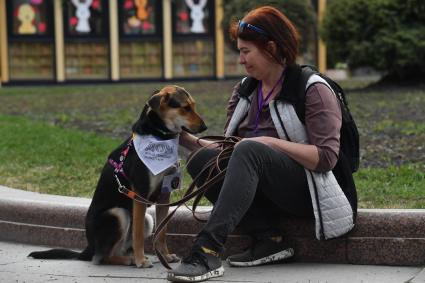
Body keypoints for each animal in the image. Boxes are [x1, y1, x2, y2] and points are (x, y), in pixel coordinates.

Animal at [27, 85, 206, 270]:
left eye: (193, 105)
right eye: (185, 108)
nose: (204, 127)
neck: (159, 136)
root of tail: (89, 247)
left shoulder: (165, 193)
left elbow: (162, 232)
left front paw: (166, 256)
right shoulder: (140, 195)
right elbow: (138, 234)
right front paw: (141, 261)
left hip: (147, 219)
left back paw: (129, 257)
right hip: (118, 214)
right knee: (101, 257)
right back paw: (131, 259)